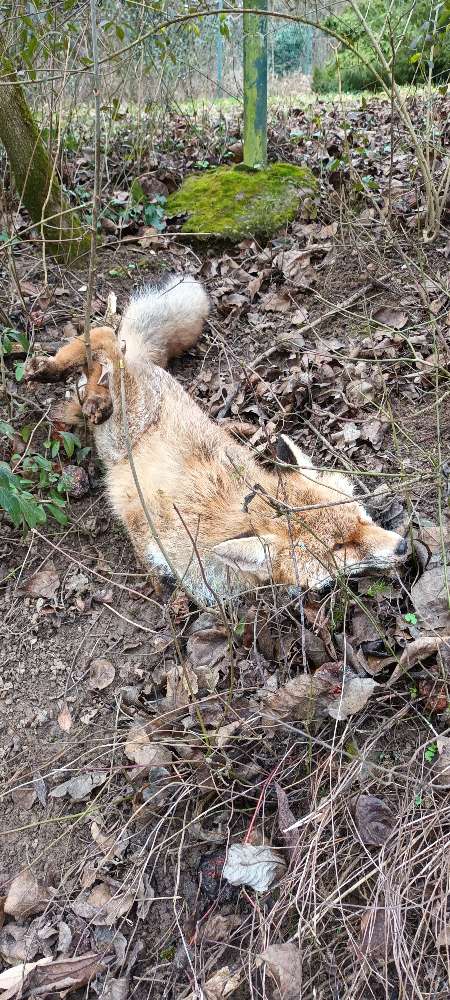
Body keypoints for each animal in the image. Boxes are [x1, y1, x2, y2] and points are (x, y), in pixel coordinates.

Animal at [24, 274, 407, 604]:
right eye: (339, 548)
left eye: (361, 517)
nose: (403, 546)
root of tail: (148, 363)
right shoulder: (145, 526)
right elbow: (149, 559)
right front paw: (158, 587)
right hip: (120, 422)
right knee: (104, 336)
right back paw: (58, 373)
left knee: (100, 353)